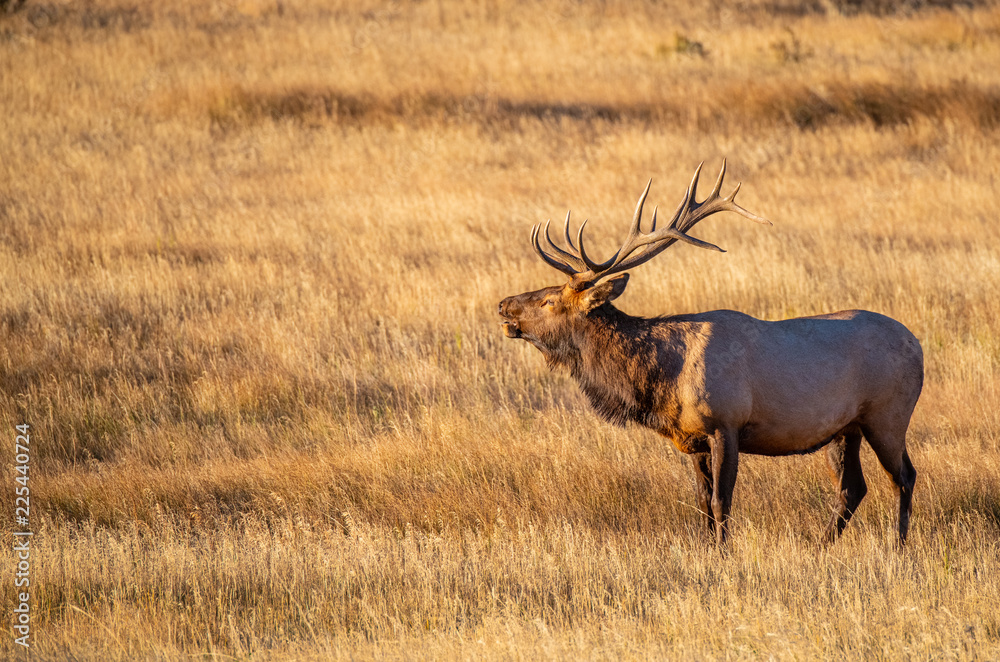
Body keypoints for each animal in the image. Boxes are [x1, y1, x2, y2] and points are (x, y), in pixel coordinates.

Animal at [498, 163, 920, 548]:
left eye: (549, 300)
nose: (503, 305)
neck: (663, 379)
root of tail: (918, 345)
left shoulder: (725, 424)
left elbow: (721, 501)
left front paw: (724, 552)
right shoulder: (692, 438)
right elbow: (701, 501)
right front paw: (708, 549)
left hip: (887, 416)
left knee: (903, 476)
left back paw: (897, 546)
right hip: (844, 429)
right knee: (853, 487)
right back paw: (821, 547)